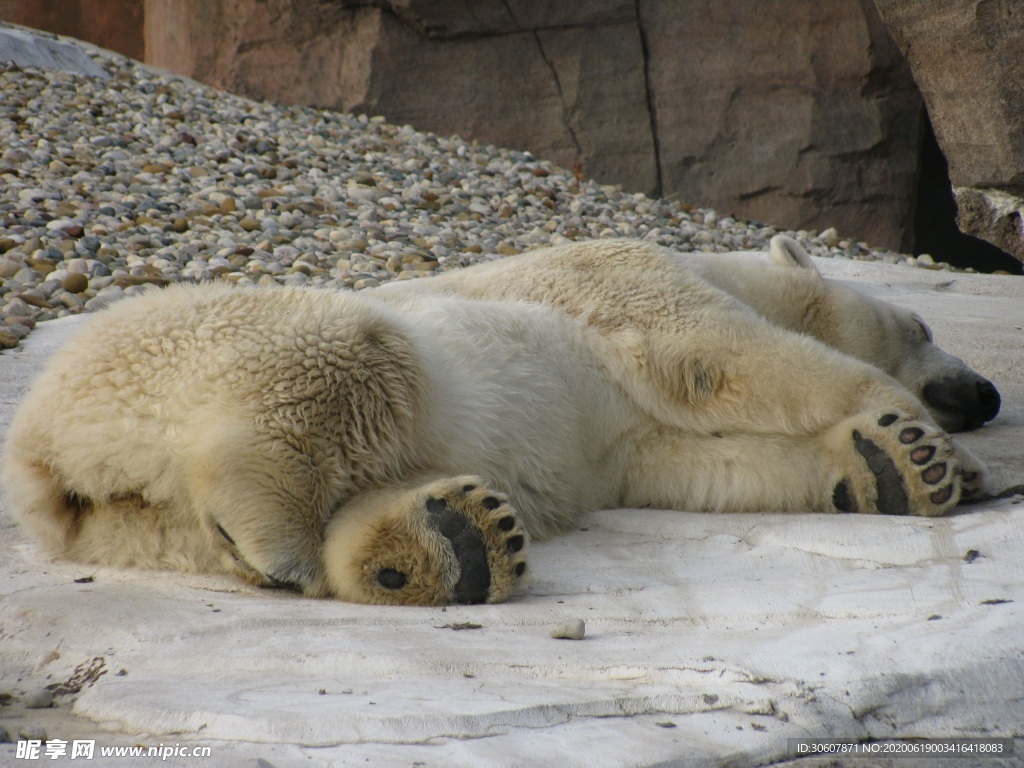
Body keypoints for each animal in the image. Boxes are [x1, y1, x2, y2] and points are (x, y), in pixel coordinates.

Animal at [0, 237, 999, 606]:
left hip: (136, 529)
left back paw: (443, 544)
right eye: (921, 325)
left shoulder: (630, 437)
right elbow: (721, 360)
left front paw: (893, 467)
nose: (986, 393)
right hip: (204, 342)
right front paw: (935, 447)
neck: (718, 264)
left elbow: (700, 464)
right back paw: (286, 537)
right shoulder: (625, 277)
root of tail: (48, 458)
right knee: (344, 360)